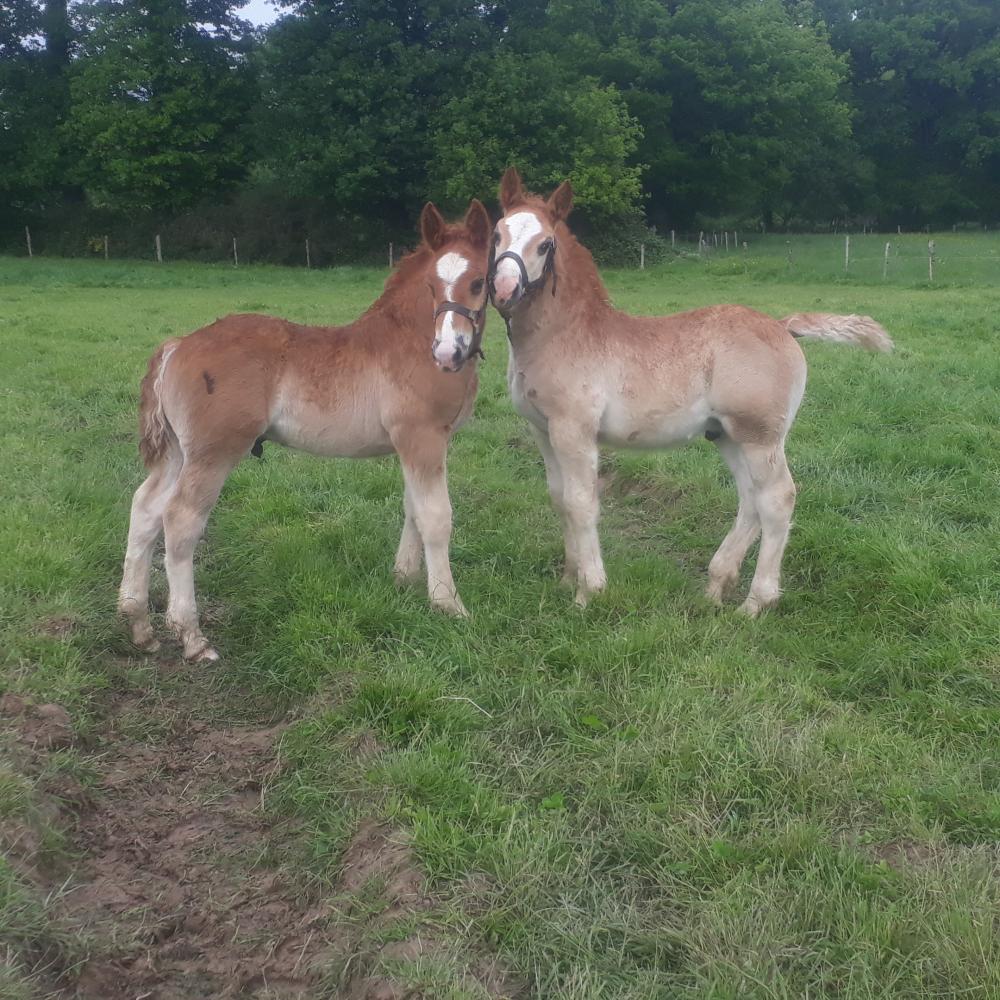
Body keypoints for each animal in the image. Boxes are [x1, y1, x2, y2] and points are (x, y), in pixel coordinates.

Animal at [119, 200, 492, 661]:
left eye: (478, 281)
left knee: (145, 508)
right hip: (213, 453)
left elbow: (413, 509)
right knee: (180, 519)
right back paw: (191, 635)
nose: (448, 351)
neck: (409, 343)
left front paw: (403, 580)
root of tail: (179, 345)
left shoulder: (411, 445)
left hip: (177, 453)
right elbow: (437, 517)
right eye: (431, 285)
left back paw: (138, 623)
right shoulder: (423, 438)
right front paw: (448, 604)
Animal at [488, 168, 892, 615]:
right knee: (751, 499)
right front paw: (566, 580)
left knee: (777, 499)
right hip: (728, 435)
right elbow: (559, 498)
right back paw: (716, 585)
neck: (566, 334)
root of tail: (782, 326)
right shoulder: (542, 431)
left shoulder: (573, 431)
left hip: (760, 437)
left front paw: (588, 592)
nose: (502, 290)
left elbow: (581, 503)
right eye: (497, 233)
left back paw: (755, 603)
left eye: (545, 244)